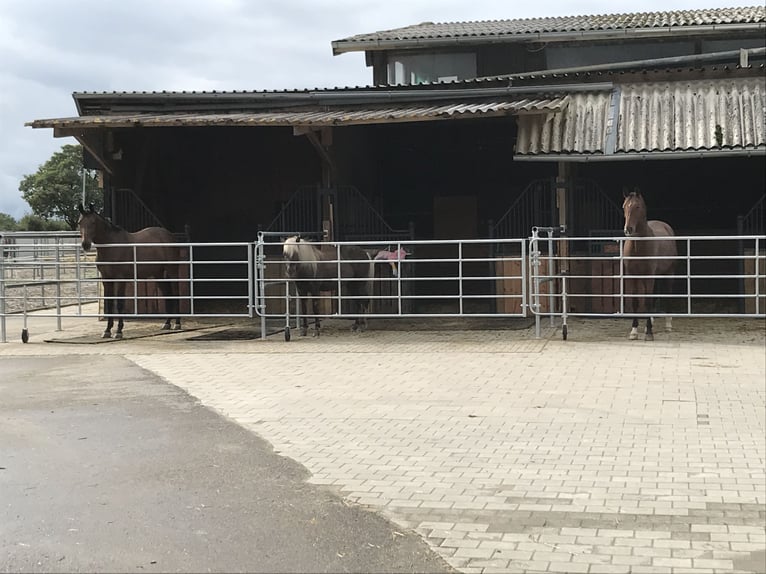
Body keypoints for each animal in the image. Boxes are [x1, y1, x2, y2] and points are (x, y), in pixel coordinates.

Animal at [78, 205, 183, 340]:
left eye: (93, 222)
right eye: (80, 222)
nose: (85, 244)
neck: (111, 246)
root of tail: (169, 236)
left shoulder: (121, 279)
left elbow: (119, 304)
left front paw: (118, 331)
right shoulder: (107, 279)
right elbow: (109, 303)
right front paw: (107, 330)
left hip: (172, 270)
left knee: (176, 293)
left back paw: (177, 323)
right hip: (158, 274)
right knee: (167, 295)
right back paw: (167, 323)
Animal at [624, 189, 680, 342]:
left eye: (637, 206)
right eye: (624, 206)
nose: (628, 229)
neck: (638, 247)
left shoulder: (649, 276)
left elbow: (647, 301)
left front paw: (649, 333)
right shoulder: (632, 276)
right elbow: (635, 302)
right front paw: (634, 331)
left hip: (669, 274)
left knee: (667, 294)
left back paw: (668, 325)